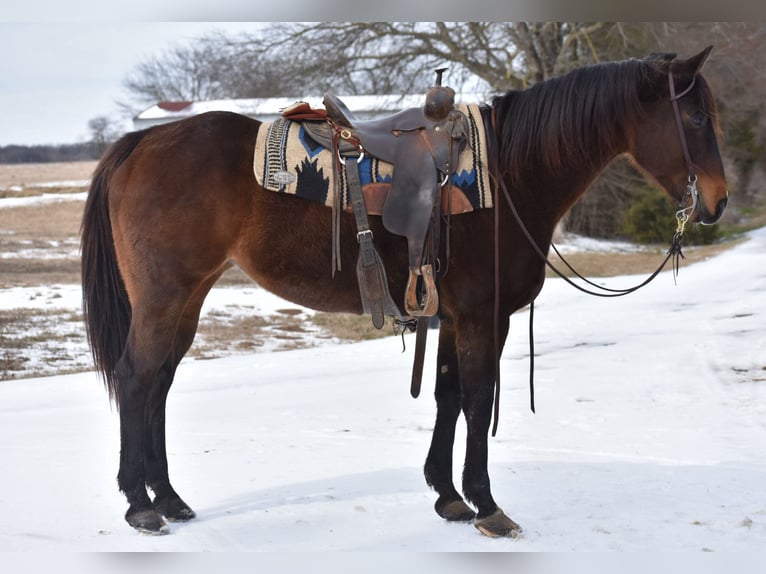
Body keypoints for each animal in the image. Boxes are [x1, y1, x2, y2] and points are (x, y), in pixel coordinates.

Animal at [81, 46, 727, 537]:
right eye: (696, 119)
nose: (719, 202)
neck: (510, 173)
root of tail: (140, 143)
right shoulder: (484, 316)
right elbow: (476, 400)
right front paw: (487, 505)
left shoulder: (454, 316)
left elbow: (446, 396)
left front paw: (447, 496)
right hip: (164, 297)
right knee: (137, 379)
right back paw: (139, 505)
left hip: (186, 298)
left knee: (159, 383)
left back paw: (167, 498)